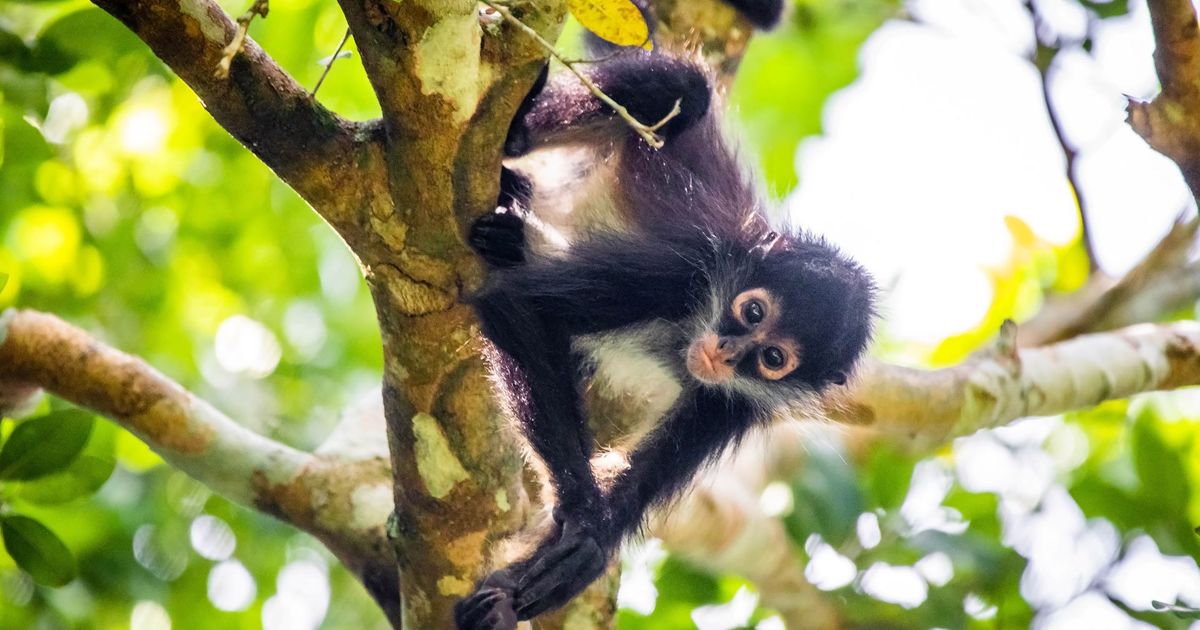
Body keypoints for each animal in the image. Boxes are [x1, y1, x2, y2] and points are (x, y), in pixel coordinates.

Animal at [455, 2, 875, 628]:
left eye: (773, 357)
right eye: (752, 311)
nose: (725, 352)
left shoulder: (734, 405)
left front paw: (569, 560)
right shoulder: (681, 271)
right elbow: (522, 307)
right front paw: (580, 511)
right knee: (688, 89)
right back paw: (517, 142)